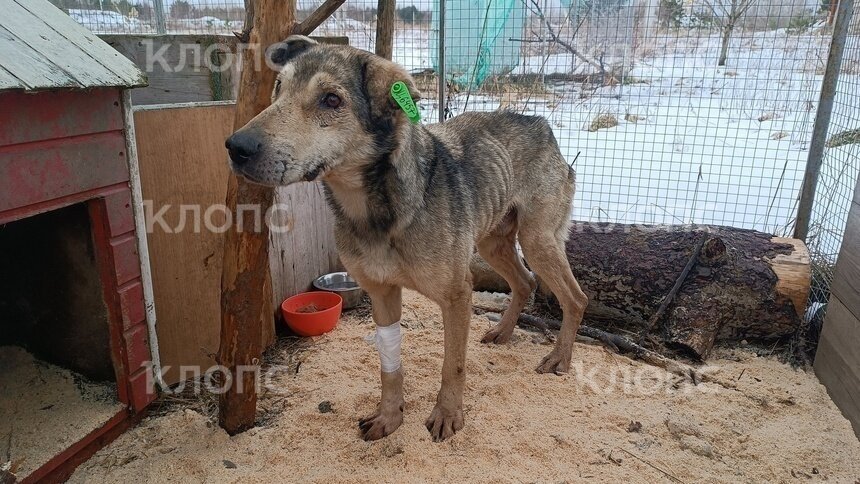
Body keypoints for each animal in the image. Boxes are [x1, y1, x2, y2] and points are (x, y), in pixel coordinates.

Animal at [225, 35, 588, 442]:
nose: (236, 146)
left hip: (537, 240)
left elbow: (453, 364)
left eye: (331, 100)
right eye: (278, 89)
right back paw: (503, 332)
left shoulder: (457, 295)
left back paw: (559, 357)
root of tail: (541, 124)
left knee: (575, 297)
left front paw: (447, 415)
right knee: (525, 282)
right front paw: (390, 416)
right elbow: (390, 367)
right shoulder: (382, 294)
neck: (375, 211)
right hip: (491, 243)